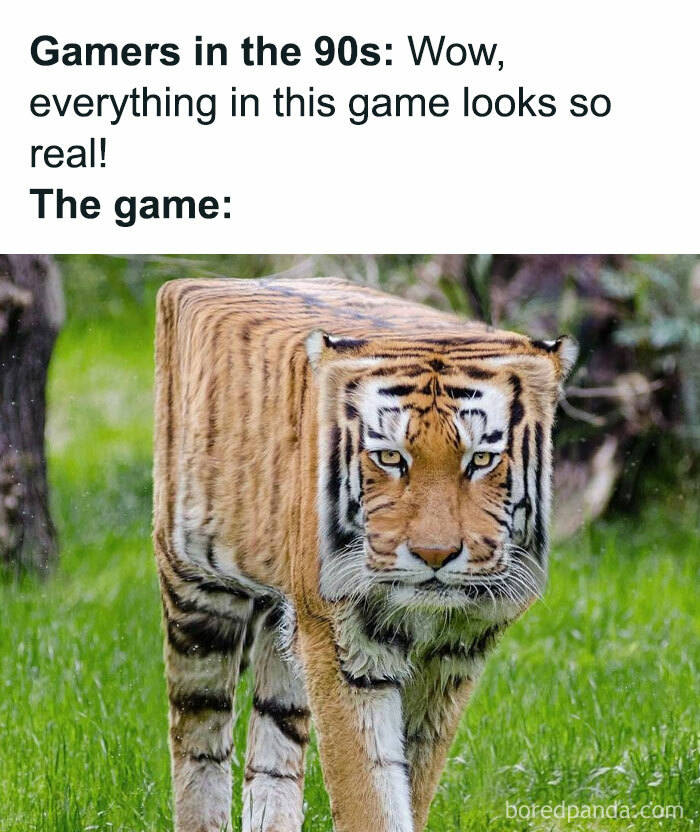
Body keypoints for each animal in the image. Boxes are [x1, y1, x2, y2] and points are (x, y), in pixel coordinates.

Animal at [153, 276, 577, 832]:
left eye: (482, 459)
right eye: (390, 457)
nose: (434, 555)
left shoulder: (454, 655)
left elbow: (413, 773)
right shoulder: (342, 643)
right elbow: (369, 788)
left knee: (274, 743)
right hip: (197, 595)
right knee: (199, 739)